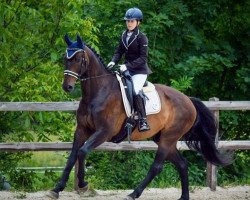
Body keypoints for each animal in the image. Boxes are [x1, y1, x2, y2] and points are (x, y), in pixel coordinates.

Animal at [47, 35, 231, 199]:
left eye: (79, 59)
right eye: (65, 58)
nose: (67, 87)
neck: (98, 92)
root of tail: (189, 100)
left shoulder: (104, 132)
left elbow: (83, 152)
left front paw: (83, 185)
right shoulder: (82, 129)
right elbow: (72, 157)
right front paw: (56, 189)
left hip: (168, 138)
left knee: (157, 167)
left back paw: (133, 194)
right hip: (164, 138)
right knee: (182, 164)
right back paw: (183, 197)